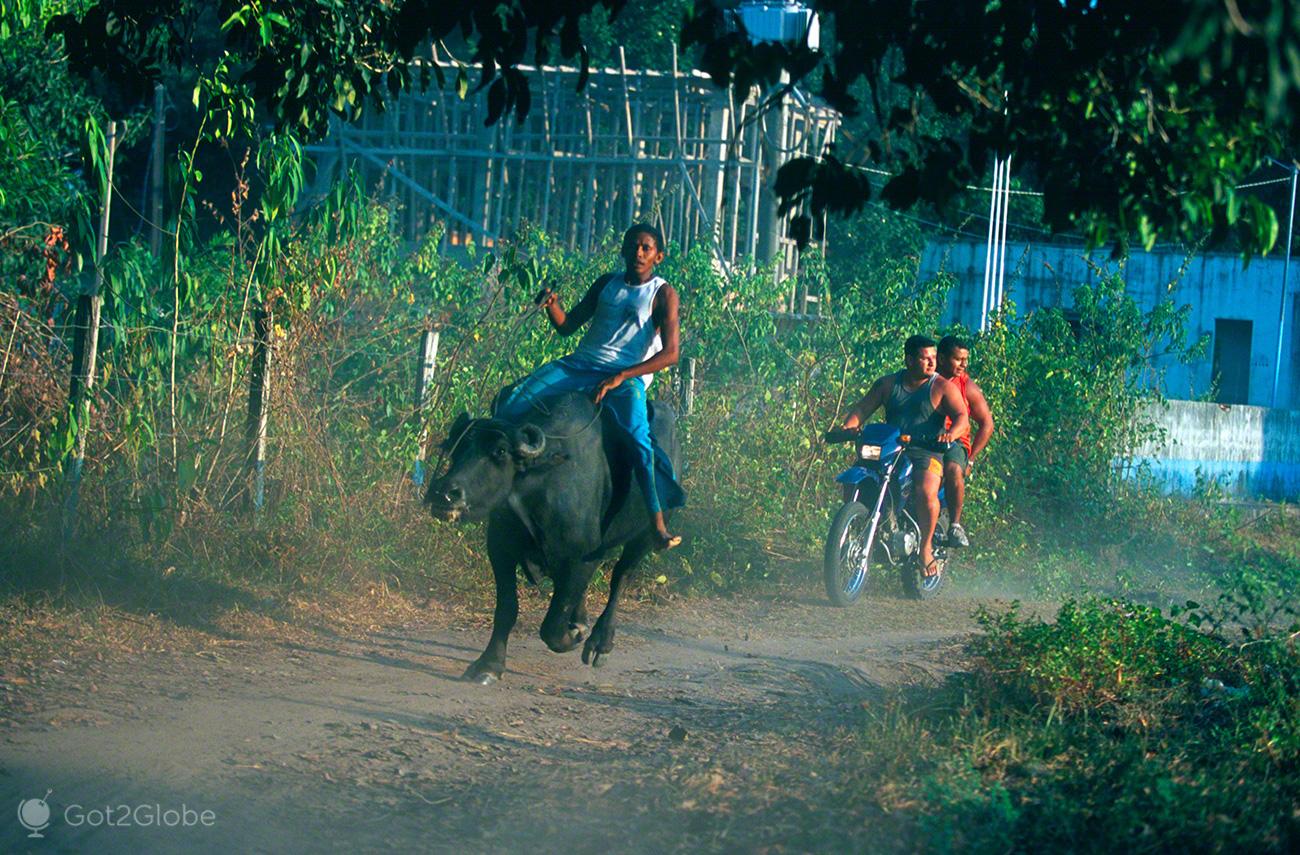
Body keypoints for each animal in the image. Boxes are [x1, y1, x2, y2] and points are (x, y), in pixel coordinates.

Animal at [431, 392, 686, 680]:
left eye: (500, 451)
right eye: (457, 449)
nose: (444, 493)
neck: (543, 484)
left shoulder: (582, 558)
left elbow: (552, 625)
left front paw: (572, 636)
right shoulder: (500, 547)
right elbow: (507, 608)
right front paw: (489, 665)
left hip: (644, 536)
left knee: (621, 576)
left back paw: (600, 642)